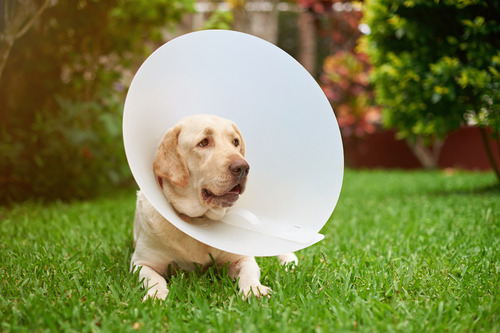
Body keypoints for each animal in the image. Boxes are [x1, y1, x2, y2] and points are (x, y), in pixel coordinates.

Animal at [131, 115, 298, 300]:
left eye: (235, 142)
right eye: (204, 142)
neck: (197, 220)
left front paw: (254, 289)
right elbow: (153, 279)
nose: (243, 167)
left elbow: (249, 271)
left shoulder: (241, 258)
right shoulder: (141, 263)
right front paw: (156, 296)